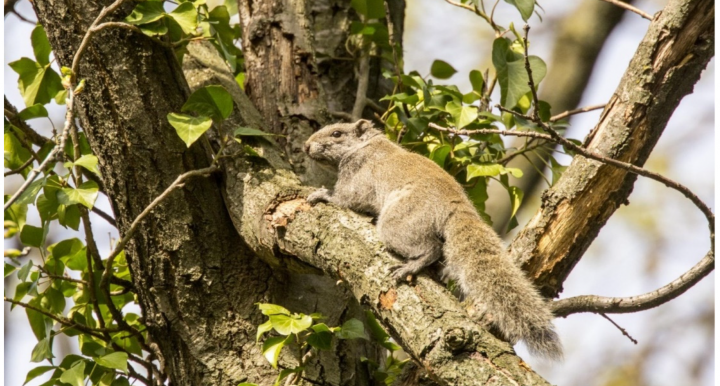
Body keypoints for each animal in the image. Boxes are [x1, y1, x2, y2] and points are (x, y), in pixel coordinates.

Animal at [304, 120, 564, 358]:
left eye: (337, 134)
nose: (306, 146)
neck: (364, 146)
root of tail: (454, 204)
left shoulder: (359, 177)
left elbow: (347, 198)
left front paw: (322, 195)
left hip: (399, 222)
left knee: (432, 248)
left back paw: (411, 266)